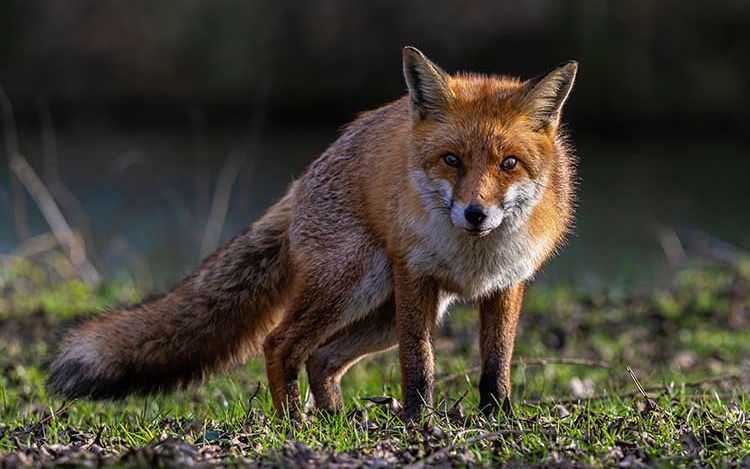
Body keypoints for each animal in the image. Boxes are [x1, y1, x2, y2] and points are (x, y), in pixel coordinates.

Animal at [47, 47, 580, 420]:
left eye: (508, 163)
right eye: (452, 159)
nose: (475, 214)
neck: (474, 256)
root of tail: (301, 179)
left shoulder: (507, 284)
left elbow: (496, 364)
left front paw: (498, 418)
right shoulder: (415, 276)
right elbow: (419, 363)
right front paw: (418, 421)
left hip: (384, 311)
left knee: (322, 357)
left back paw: (335, 420)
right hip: (358, 285)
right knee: (281, 344)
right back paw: (294, 423)